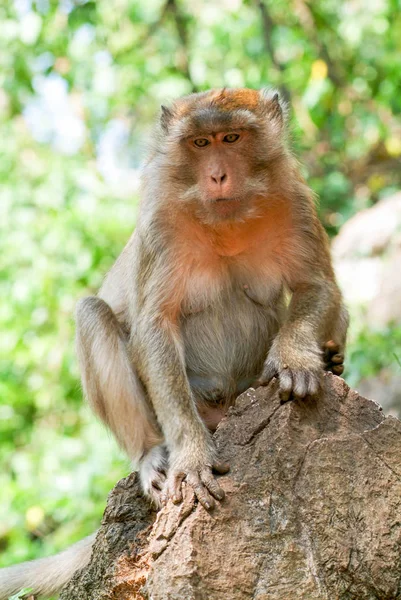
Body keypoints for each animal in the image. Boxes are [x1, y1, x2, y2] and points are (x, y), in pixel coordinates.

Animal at [0, 86, 346, 596]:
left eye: (231, 137)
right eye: (200, 143)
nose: (218, 175)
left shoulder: (296, 199)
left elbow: (316, 287)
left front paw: (298, 359)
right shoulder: (159, 220)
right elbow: (154, 325)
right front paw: (191, 456)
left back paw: (332, 359)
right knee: (93, 315)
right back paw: (150, 455)